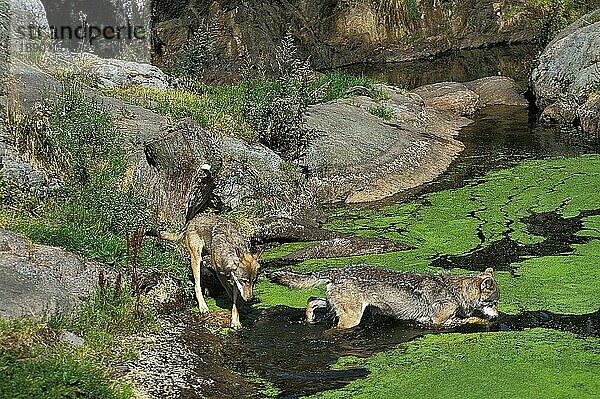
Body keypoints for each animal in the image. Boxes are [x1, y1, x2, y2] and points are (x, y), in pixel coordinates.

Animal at [270, 266, 500, 332]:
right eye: (494, 303)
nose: (498, 316)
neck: (455, 291)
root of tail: (336, 271)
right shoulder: (438, 322)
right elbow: (471, 319)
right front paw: (483, 320)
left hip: (333, 306)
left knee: (311, 299)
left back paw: (309, 319)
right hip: (351, 319)